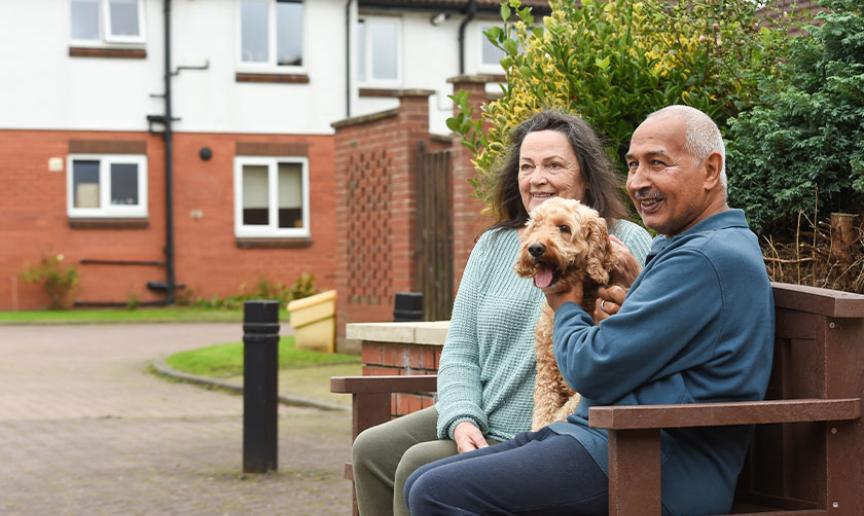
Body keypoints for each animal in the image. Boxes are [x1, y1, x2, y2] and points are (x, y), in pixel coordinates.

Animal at [512, 198, 616, 432]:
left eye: (564, 228)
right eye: (535, 226)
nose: (535, 248)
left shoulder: (587, 387)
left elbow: (562, 414)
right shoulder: (546, 373)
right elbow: (543, 411)